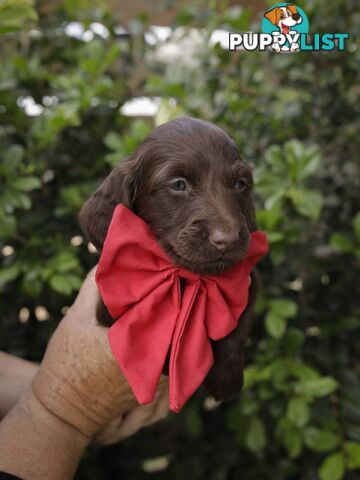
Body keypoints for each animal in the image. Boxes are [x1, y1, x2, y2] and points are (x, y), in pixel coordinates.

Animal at [79, 117, 258, 402]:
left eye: (240, 184)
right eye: (178, 184)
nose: (227, 239)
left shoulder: (247, 281)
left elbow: (237, 326)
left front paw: (227, 378)